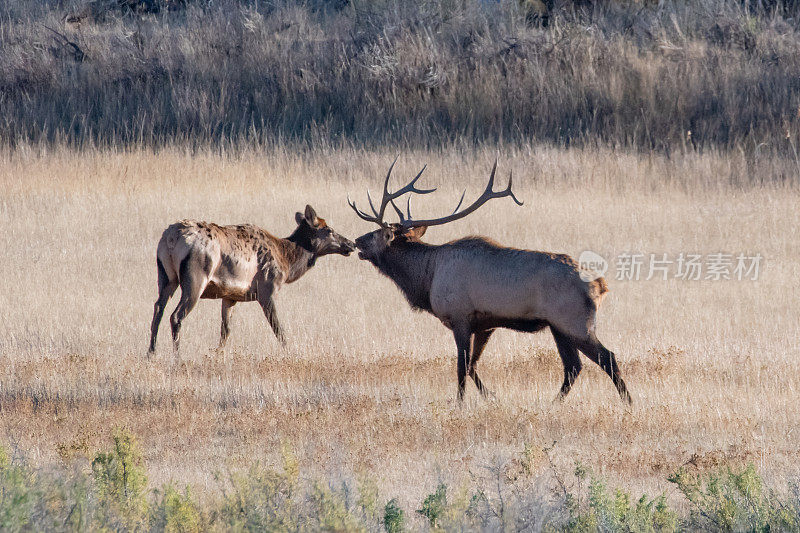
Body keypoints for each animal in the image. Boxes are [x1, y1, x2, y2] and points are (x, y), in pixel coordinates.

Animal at [148, 206, 354, 356]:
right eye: (329, 229)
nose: (350, 244)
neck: (287, 261)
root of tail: (171, 238)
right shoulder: (267, 289)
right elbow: (278, 328)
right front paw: (289, 352)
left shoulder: (230, 296)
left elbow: (225, 330)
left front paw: (217, 354)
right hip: (195, 278)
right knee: (176, 315)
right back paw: (177, 356)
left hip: (166, 276)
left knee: (158, 308)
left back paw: (151, 353)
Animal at [350, 161, 632, 404]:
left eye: (377, 233)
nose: (356, 240)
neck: (426, 278)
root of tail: (600, 285)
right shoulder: (486, 324)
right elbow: (473, 365)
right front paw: (492, 396)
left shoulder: (460, 317)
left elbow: (461, 367)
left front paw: (460, 403)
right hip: (557, 326)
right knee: (573, 366)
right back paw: (554, 404)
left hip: (574, 321)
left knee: (607, 358)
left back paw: (627, 402)